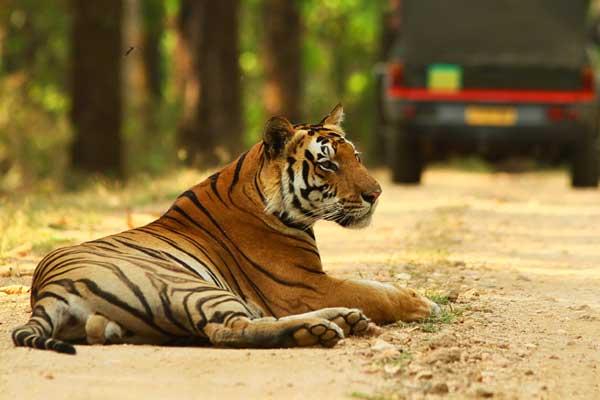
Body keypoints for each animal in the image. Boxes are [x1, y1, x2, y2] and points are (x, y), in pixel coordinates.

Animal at [11, 104, 438, 354]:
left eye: (356, 157)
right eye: (327, 164)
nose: (376, 194)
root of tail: (48, 291)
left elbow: (372, 286)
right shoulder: (304, 286)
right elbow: (374, 291)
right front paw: (422, 304)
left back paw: (342, 320)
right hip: (189, 286)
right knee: (228, 329)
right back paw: (319, 329)